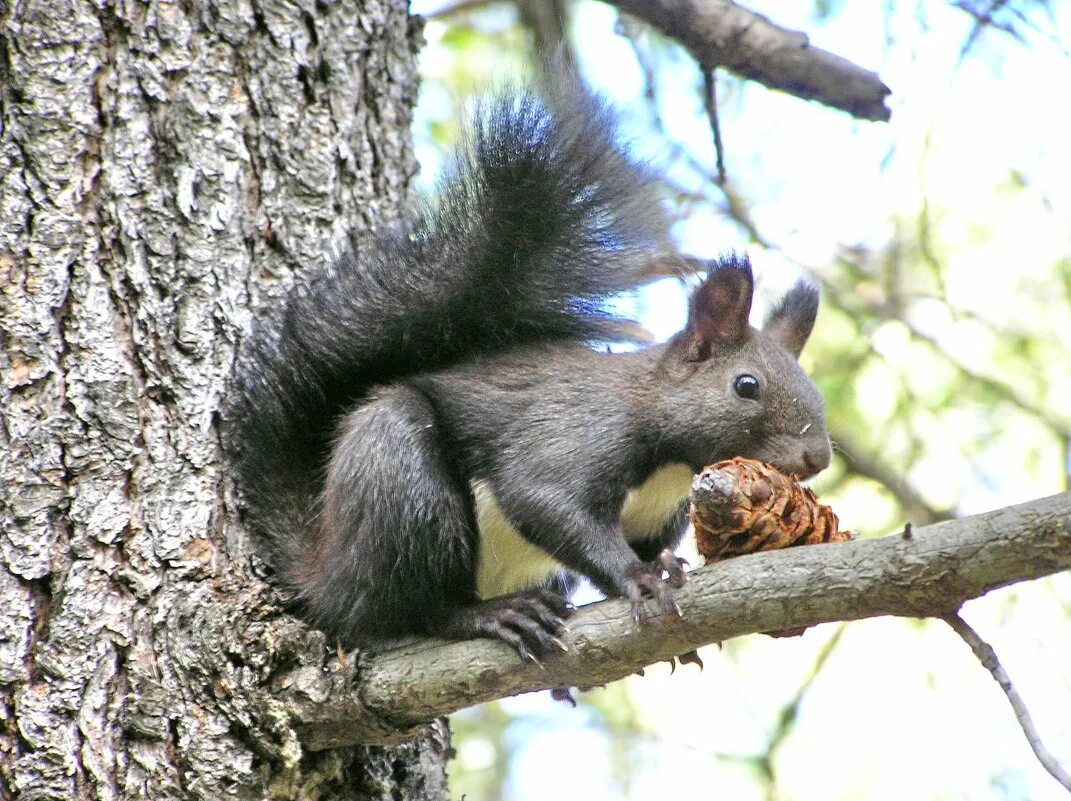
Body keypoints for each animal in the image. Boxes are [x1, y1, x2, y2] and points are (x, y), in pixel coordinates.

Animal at [223, 86, 826, 663]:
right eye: (746, 386)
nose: (817, 457)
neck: (668, 461)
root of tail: (325, 577)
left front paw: (662, 566)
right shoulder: (573, 435)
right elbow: (544, 499)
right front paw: (638, 577)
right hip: (400, 479)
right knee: (408, 612)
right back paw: (489, 615)